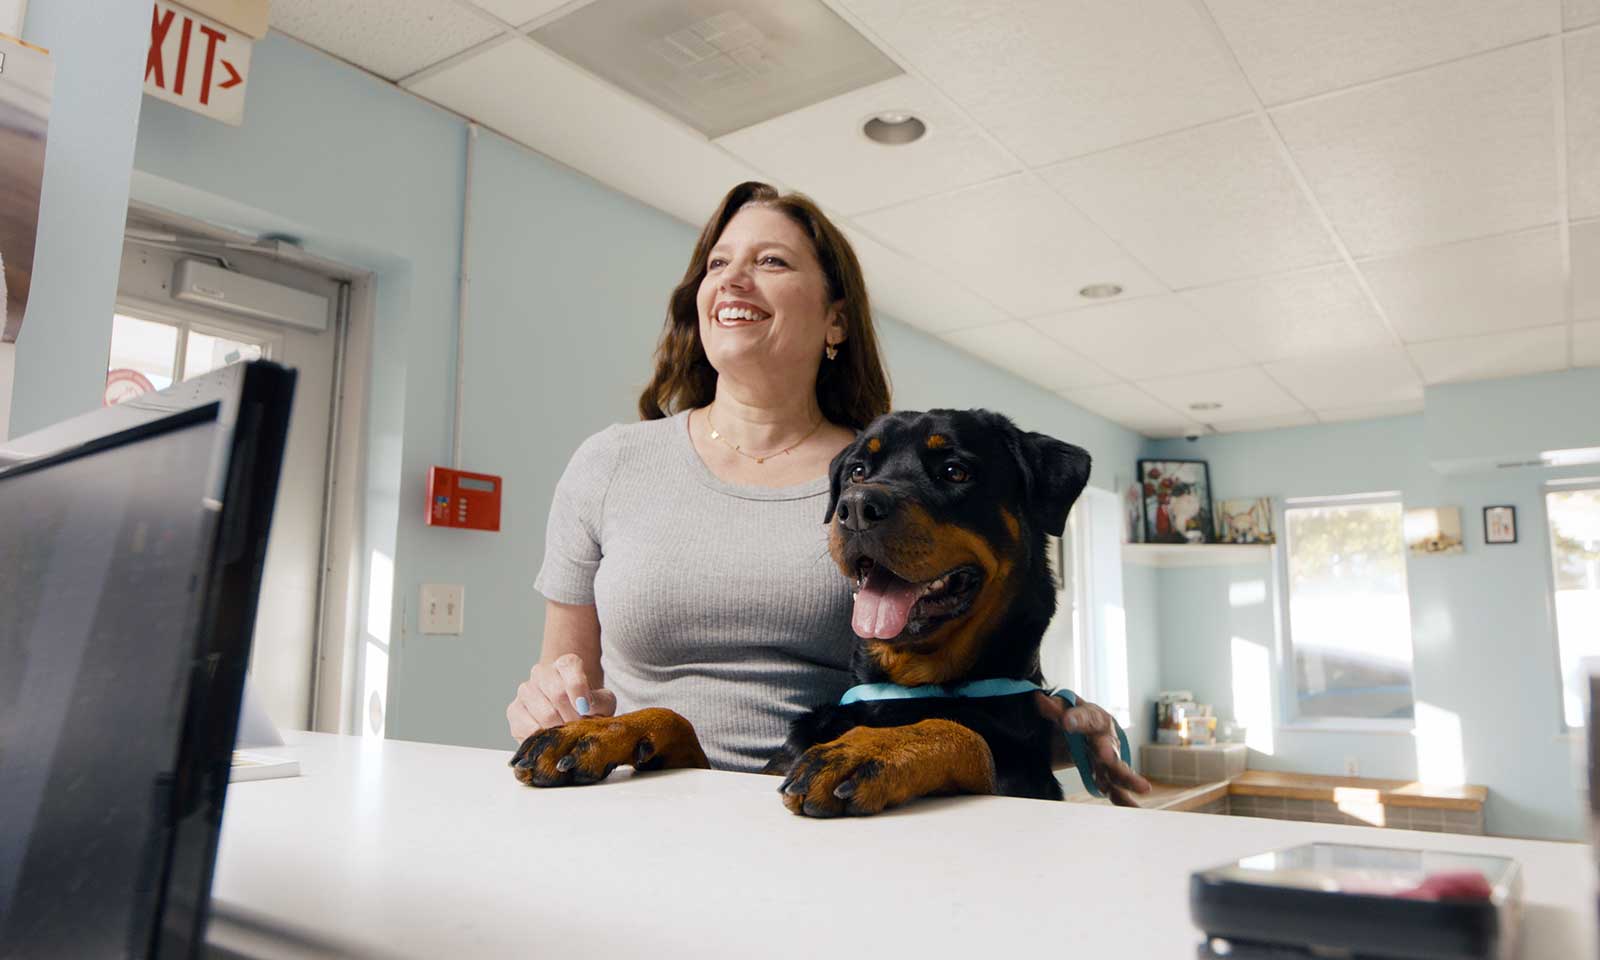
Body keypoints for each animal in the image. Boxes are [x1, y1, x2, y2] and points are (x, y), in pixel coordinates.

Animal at [518, 408, 1094, 819]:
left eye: (955, 471)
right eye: (858, 469)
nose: (856, 506)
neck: (904, 683)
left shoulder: (1023, 780)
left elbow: (960, 731)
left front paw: (868, 749)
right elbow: (676, 721)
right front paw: (593, 729)